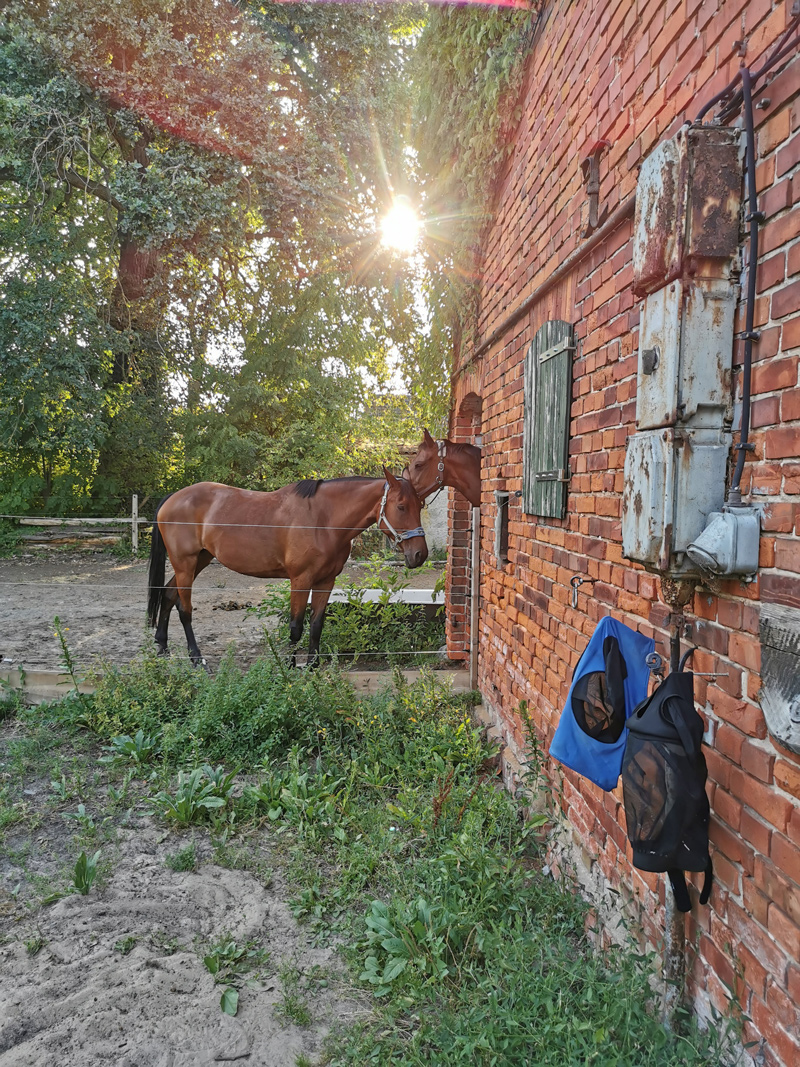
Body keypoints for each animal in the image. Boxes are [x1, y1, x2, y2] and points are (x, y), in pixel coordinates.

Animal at [147, 469, 428, 661]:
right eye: (401, 506)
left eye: (420, 505)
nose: (419, 554)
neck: (323, 520)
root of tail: (173, 498)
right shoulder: (300, 580)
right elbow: (296, 628)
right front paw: (290, 670)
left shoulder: (326, 581)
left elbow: (316, 626)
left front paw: (313, 668)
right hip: (185, 564)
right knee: (184, 609)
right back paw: (196, 658)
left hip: (199, 561)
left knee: (168, 595)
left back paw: (162, 647)